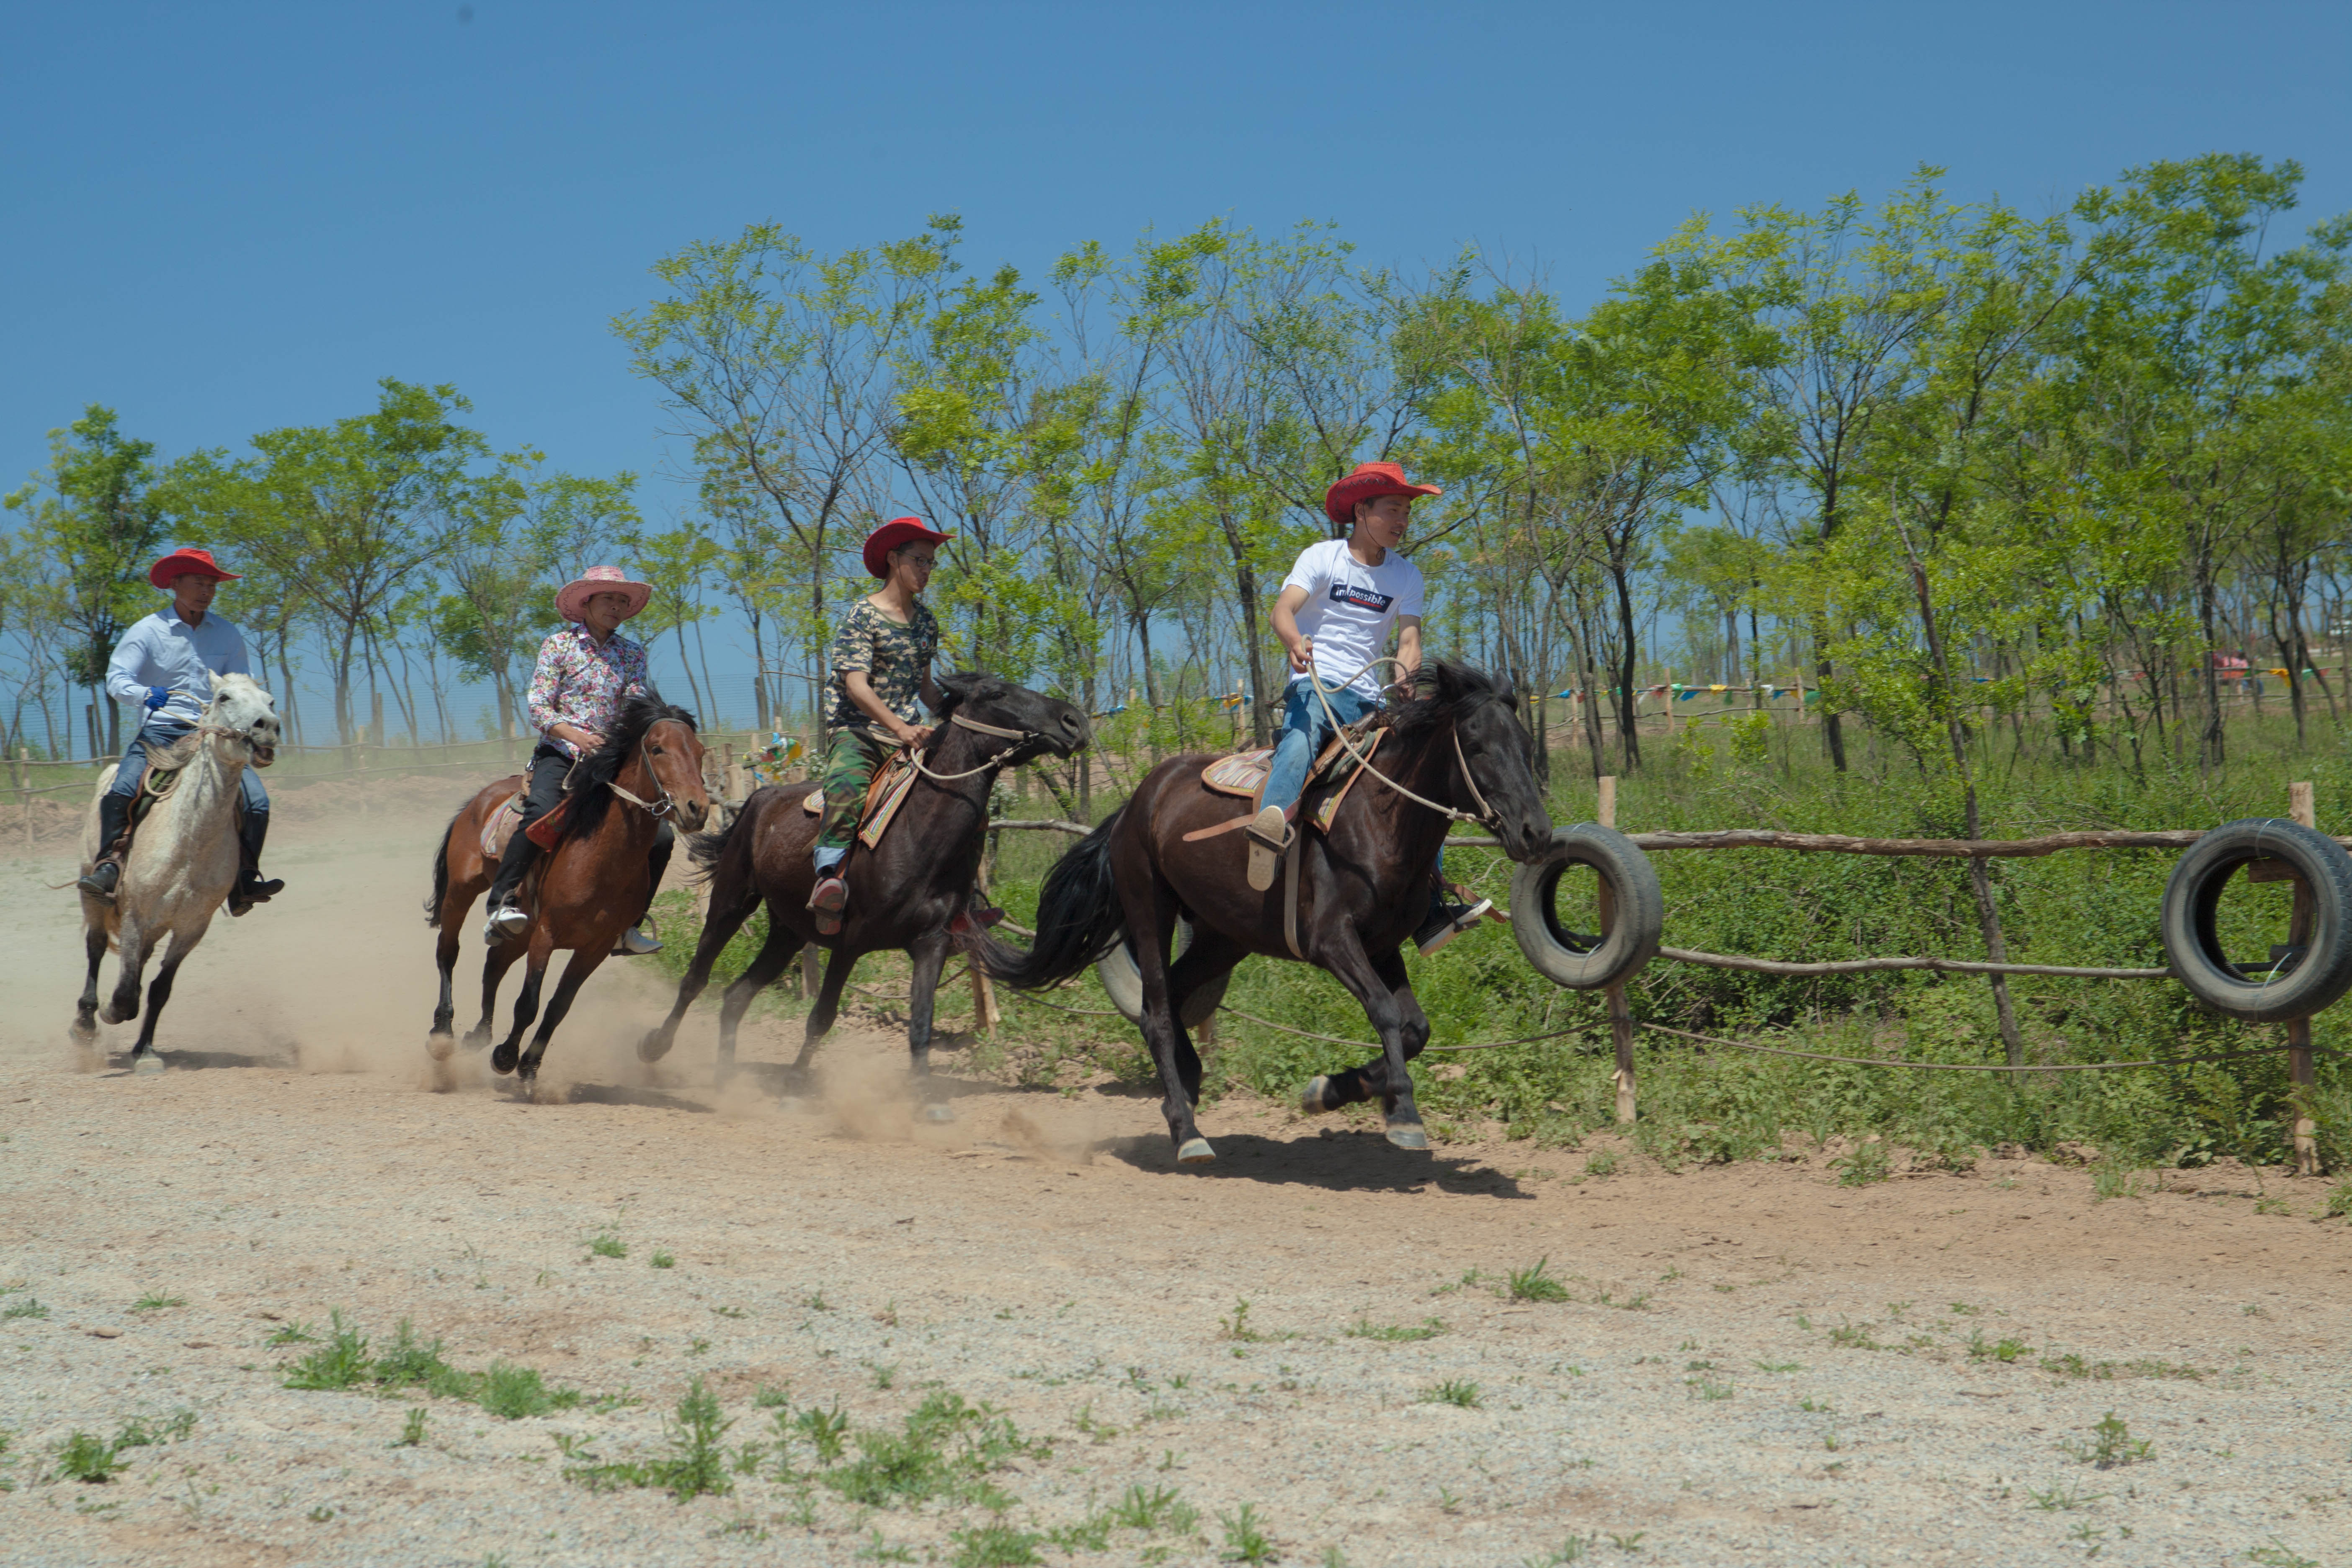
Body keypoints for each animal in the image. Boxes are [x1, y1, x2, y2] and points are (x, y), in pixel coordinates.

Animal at [426, 700, 705, 1091]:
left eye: (700, 751)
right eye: (657, 749)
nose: (697, 808)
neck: (599, 856)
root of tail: (480, 799)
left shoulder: (595, 947)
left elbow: (559, 1006)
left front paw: (529, 1066)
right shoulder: (546, 934)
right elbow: (528, 1004)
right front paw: (506, 1057)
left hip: (521, 927)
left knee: (494, 965)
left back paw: (479, 1035)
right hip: (462, 892)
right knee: (448, 952)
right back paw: (443, 1032)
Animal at [640, 668, 1086, 1086]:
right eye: (996, 693)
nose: (1075, 721)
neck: (917, 834)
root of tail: (760, 798)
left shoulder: (933, 942)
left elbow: (921, 1028)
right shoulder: (849, 942)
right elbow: (821, 1017)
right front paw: (795, 1083)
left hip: (788, 931)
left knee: (736, 996)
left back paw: (725, 1079)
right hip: (732, 903)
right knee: (696, 978)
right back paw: (656, 1047)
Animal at [978, 663, 1552, 1166]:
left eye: (1526, 747)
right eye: (1477, 747)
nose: (1536, 833)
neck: (1377, 819)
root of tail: (1136, 802)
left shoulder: (1383, 945)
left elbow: (1415, 1028)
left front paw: (1331, 1091)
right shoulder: (1332, 941)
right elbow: (1387, 1015)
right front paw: (1405, 1112)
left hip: (1222, 938)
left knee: (1171, 1000)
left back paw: (1185, 1088)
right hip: (1148, 911)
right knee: (1157, 1014)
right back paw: (1187, 1131)